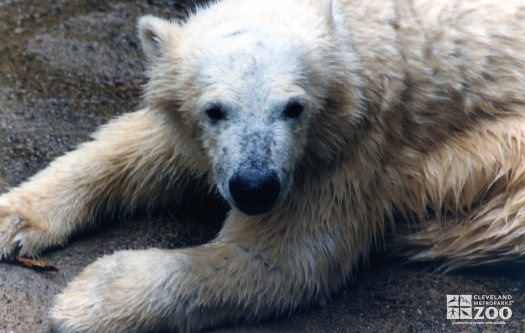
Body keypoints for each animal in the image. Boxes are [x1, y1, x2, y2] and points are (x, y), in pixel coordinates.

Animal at [1, 0, 524, 330]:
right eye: (215, 109)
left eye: (293, 107)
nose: (255, 187)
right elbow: (137, 148)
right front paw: (14, 219)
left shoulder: (353, 145)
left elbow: (282, 258)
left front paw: (85, 299)